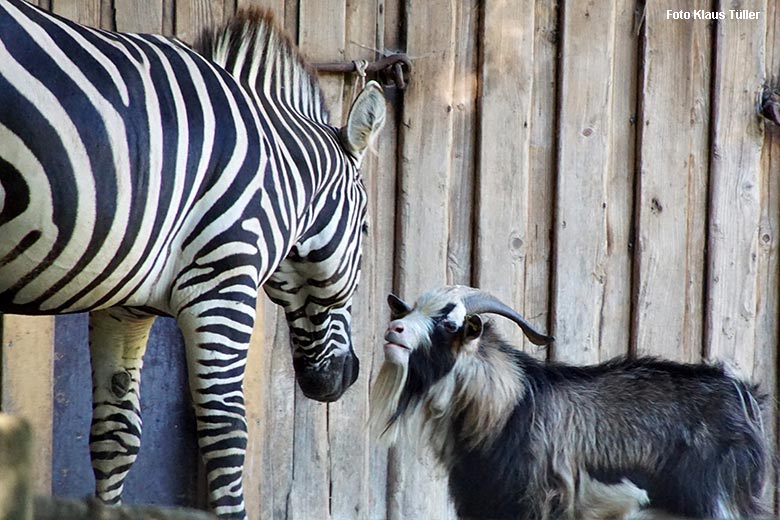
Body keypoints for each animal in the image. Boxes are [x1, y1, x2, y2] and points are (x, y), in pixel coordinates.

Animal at [0, 2, 386, 516]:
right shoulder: (222, 284)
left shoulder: (125, 305)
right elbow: (226, 433)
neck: (277, 171)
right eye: (365, 230)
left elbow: (116, 435)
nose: (346, 377)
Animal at [370, 286, 768, 516]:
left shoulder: (534, 499)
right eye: (409, 311)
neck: (509, 405)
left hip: (718, 500)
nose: (394, 330)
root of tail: (743, 395)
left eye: (449, 325)